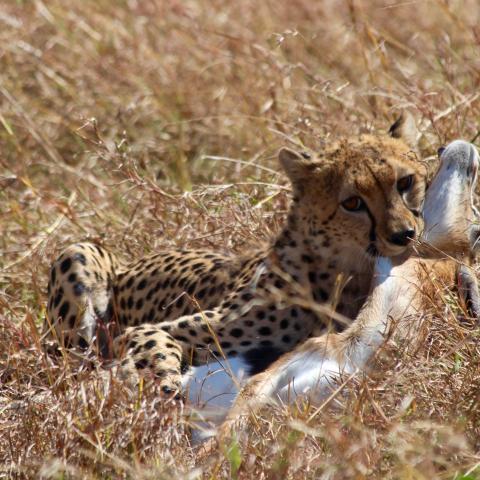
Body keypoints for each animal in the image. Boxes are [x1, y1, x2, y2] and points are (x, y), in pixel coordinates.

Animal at [46, 113, 436, 398]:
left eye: (404, 182)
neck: (341, 268)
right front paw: (161, 379)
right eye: (352, 202)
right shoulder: (159, 330)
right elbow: (152, 340)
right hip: (78, 254)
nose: (403, 234)